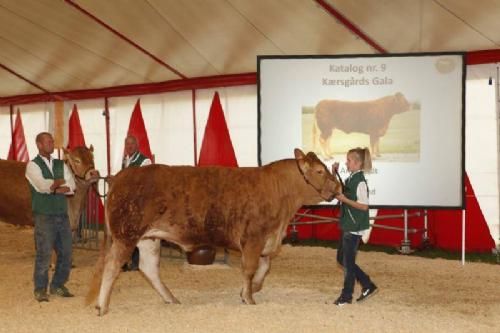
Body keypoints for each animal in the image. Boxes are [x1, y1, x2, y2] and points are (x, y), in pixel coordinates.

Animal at [88, 148, 342, 314]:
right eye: (320, 171)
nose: (338, 186)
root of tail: (119, 177)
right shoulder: (253, 237)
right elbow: (250, 269)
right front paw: (249, 297)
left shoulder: (265, 241)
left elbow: (264, 267)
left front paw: (252, 289)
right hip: (126, 235)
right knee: (112, 266)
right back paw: (103, 306)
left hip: (149, 237)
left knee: (148, 268)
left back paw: (171, 299)